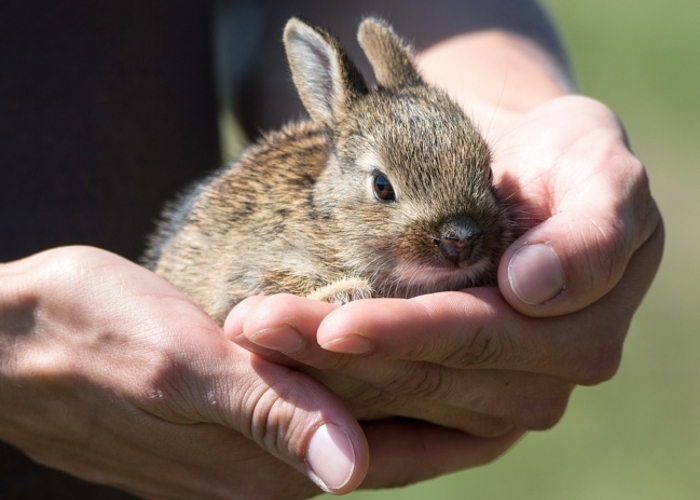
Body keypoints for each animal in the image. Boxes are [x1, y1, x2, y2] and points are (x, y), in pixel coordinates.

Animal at [143, 17, 514, 325]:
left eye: (488, 172)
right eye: (382, 186)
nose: (461, 238)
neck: (332, 223)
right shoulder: (248, 274)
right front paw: (346, 292)